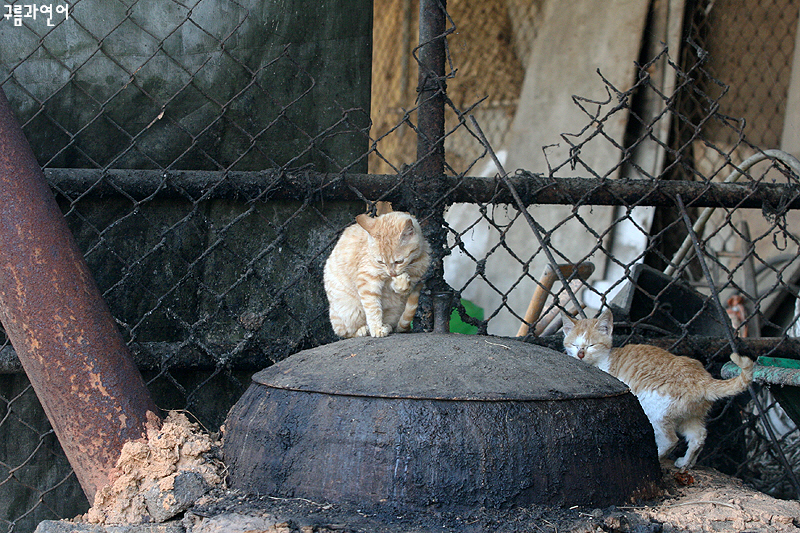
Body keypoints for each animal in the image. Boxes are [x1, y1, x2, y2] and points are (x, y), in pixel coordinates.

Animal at [322, 208, 428, 336]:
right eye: (380, 262)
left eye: (399, 261)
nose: (392, 273)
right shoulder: (367, 280)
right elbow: (372, 307)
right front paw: (376, 328)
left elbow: (400, 288)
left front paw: (401, 282)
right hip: (350, 311)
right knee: (345, 333)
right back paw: (363, 330)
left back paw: (387, 326)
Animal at [560, 308, 752, 470]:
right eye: (574, 345)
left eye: (591, 345)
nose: (580, 354)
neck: (601, 362)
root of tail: (703, 379)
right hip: (689, 415)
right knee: (699, 437)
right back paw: (685, 463)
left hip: (655, 409)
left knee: (671, 440)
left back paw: (656, 458)